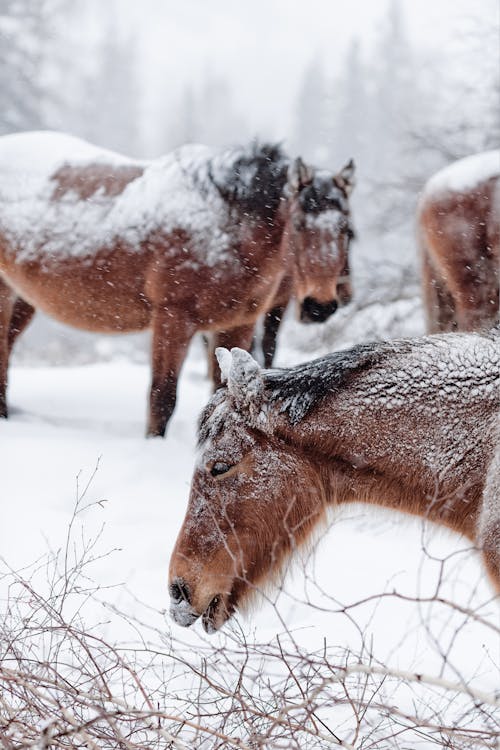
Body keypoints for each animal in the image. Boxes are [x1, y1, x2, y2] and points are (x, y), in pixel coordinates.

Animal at [0, 133, 356, 438]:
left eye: (346, 229)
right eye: (299, 224)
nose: (320, 306)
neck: (223, 227)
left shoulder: (237, 325)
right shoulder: (173, 319)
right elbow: (162, 397)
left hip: (24, 300)